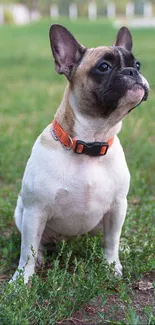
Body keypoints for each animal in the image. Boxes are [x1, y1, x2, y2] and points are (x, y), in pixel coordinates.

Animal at [10, 24, 149, 280]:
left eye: (137, 64)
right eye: (103, 67)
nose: (132, 72)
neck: (90, 143)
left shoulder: (118, 206)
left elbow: (111, 241)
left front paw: (112, 266)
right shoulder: (35, 211)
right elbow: (28, 250)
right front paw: (22, 279)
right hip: (21, 212)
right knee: (36, 243)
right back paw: (42, 256)